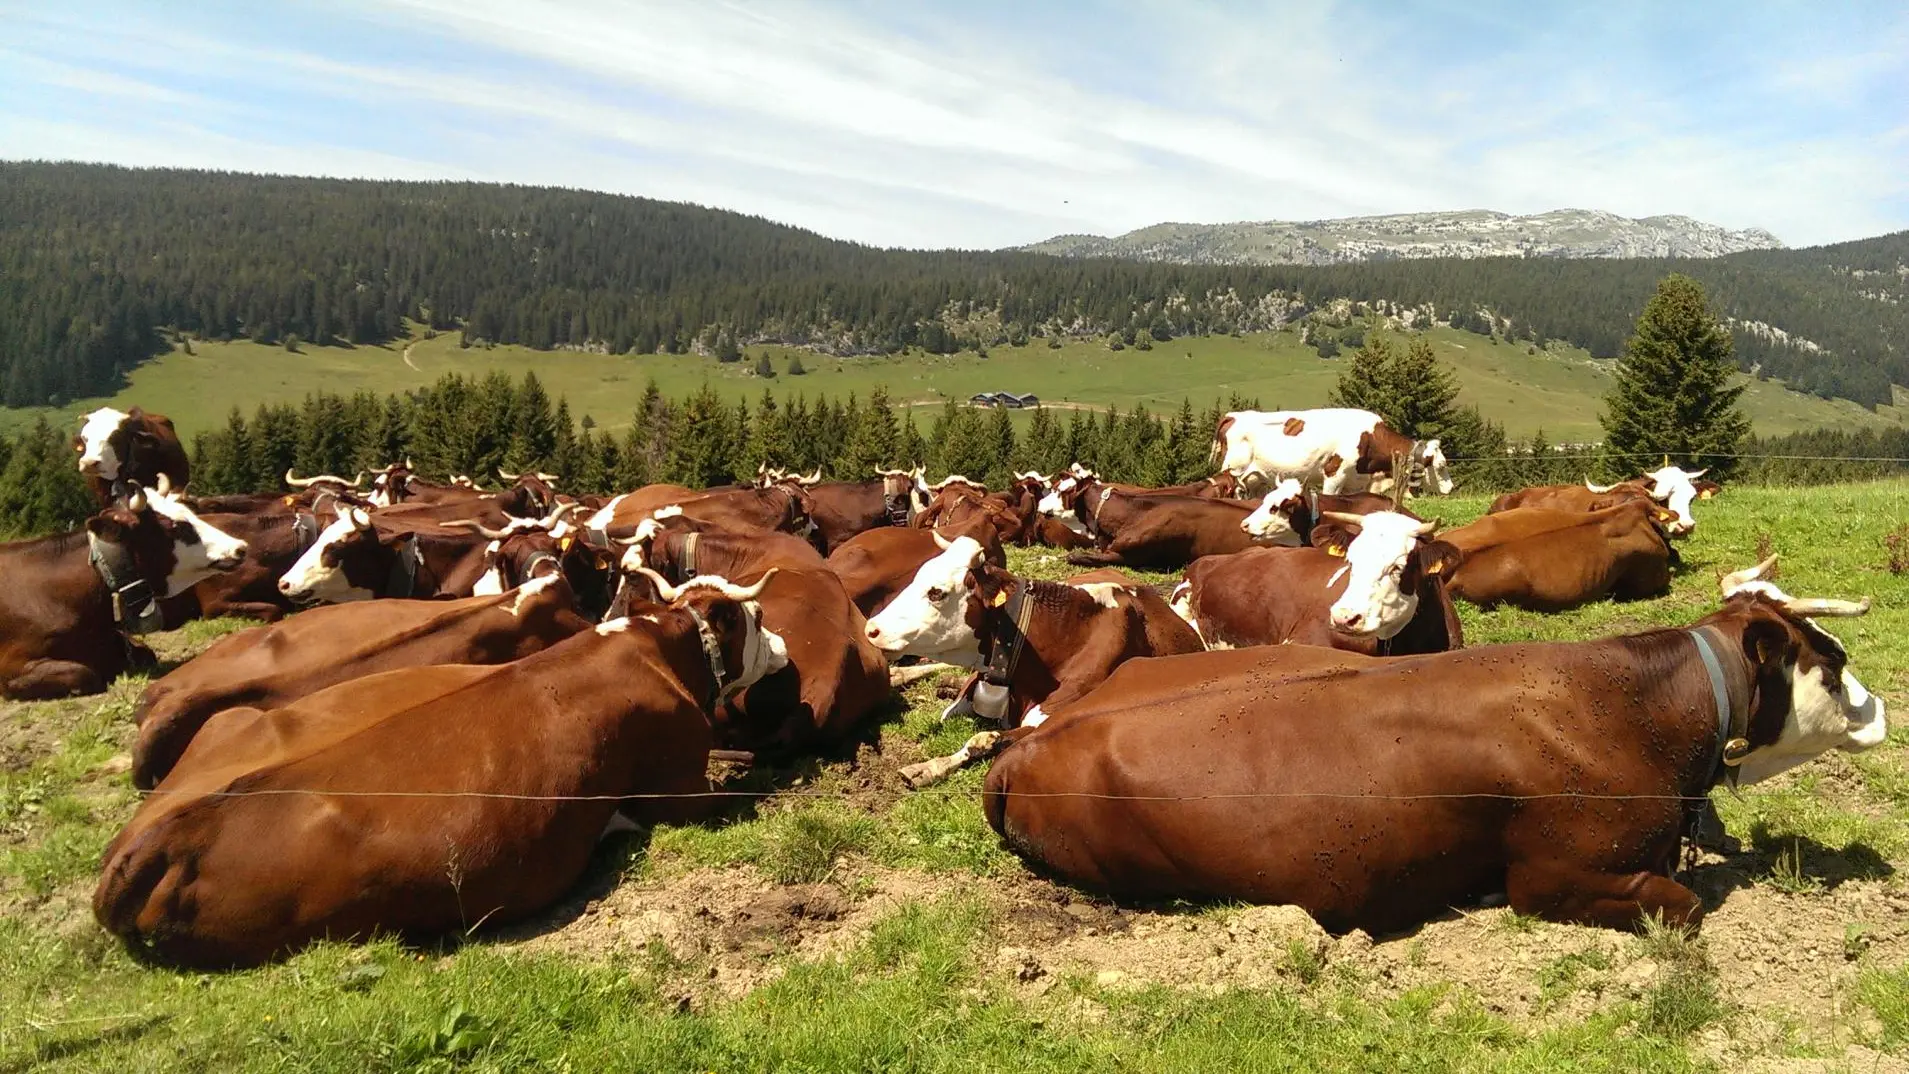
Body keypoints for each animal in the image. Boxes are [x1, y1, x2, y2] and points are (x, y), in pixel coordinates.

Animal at [1209, 408, 1453, 497]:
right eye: (1441, 466)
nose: (1451, 488)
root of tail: (1234, 415)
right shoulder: (1334, 474)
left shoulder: (1356, 482)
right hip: (1233, 469)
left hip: (1255, 478)